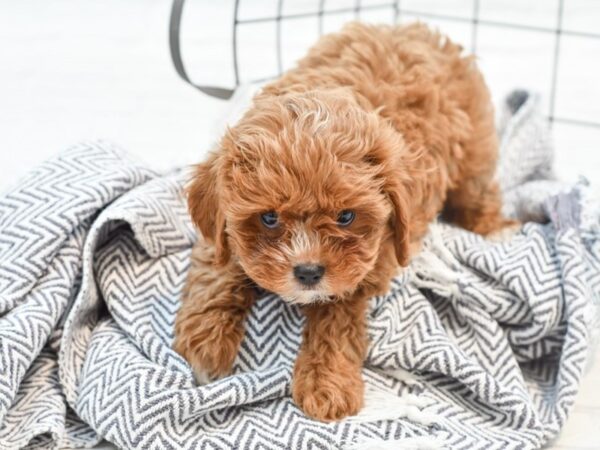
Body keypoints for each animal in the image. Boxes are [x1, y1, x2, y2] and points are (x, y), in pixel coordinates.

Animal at [172, 21, 510, 422]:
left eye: (345, 216)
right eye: (269, 218)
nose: (308, 272)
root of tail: (418, 29)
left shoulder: (366, 265)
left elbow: (335, 321)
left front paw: (327, 383)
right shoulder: (219, 234)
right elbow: (218, 272)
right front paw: (205, 341)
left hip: (474, 151)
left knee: (478, 193)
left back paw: (494, 227)